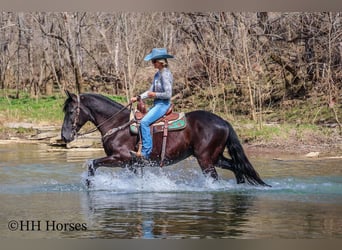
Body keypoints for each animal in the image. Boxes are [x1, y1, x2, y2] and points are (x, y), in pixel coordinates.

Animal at [61, 91, 270, 187]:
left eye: (71, 111)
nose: (64, 136)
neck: (118, 125)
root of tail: (223, 122)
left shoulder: (121, 158)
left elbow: (92, 164)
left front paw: (89, 184)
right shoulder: (132, 164)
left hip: (205, 160)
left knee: (216, 178)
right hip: (215, 157)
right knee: (236, 166)